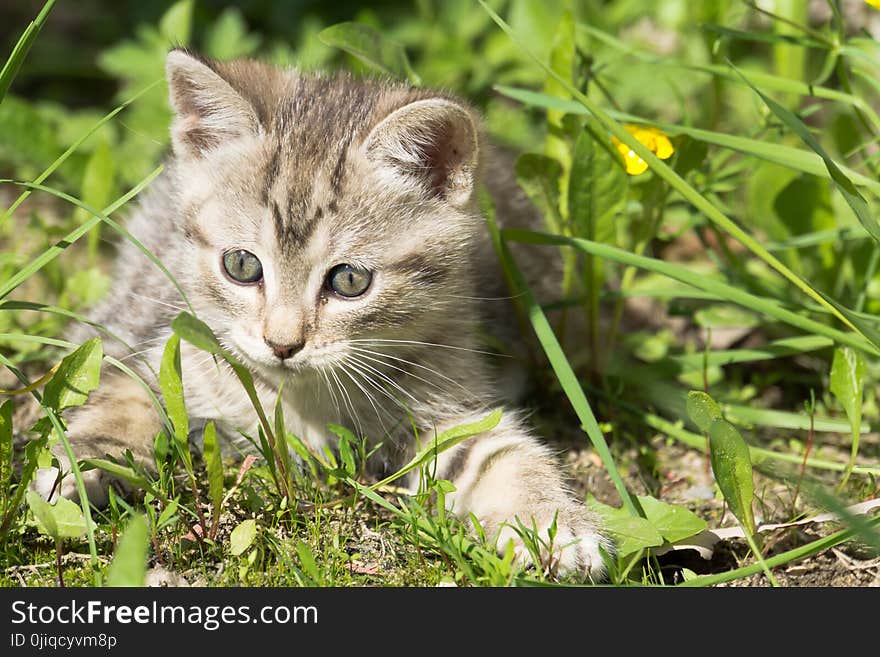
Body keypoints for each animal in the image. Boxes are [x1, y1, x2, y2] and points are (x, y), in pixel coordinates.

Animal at [36, 48, 612, 576]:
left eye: (350, 280)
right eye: (241, 265)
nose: (282, 343)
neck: (302, 402)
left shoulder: (448, 403)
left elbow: (500, 454)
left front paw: (551, 521)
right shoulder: (162, 348)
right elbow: (124, 397)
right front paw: (81, 461)